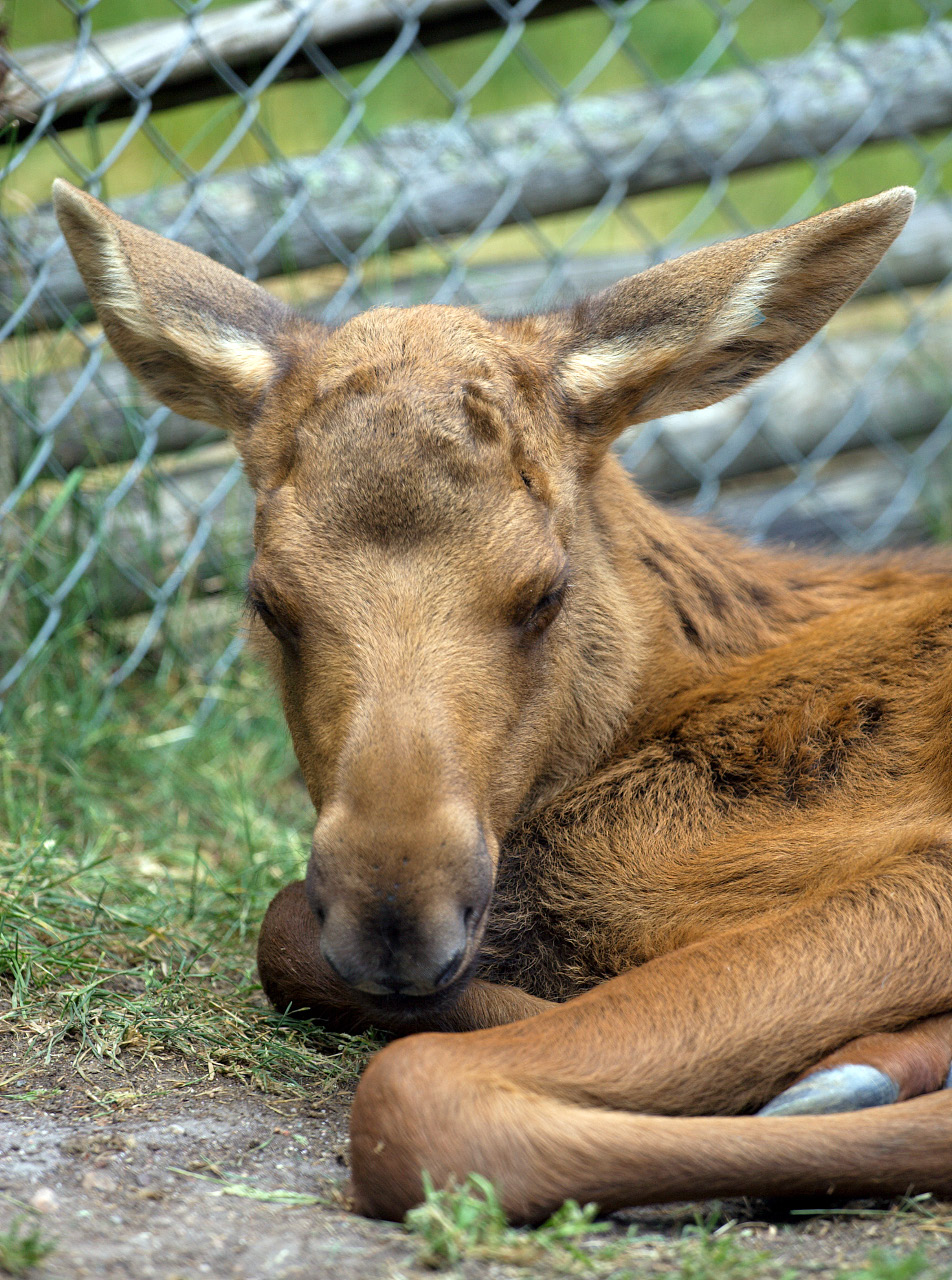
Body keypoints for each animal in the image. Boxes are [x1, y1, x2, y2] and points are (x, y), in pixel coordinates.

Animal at [55, 177, 952, 1218]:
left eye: (545, 592)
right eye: (268, 600)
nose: (397, 920)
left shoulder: (925, 862)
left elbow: (418, 1094)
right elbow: (284, 931)